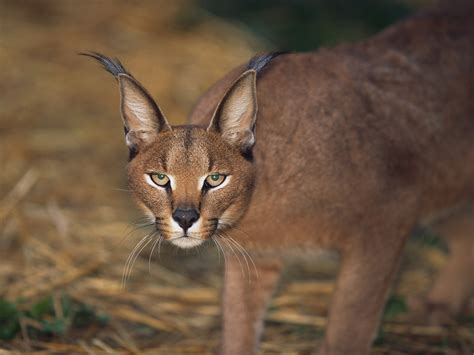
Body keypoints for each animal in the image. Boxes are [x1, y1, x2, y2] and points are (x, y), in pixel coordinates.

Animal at [83, 2, 472, 354]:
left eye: (215, 178)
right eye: (160, 178)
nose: (185, 218)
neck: (260, 198)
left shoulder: (386, 223)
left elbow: (349, 326)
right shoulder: (254, 257)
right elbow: (238, 328)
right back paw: (437, 310)